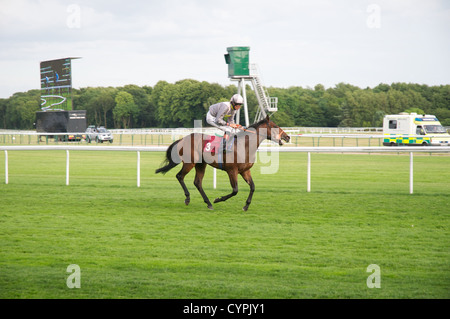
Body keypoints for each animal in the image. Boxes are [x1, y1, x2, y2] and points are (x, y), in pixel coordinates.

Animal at [155, 116, 290, 211]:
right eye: (275, 126)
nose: (287, 137)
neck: (244, 146)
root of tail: (183, 139)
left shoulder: (245, 171)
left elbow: (252, 187)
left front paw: (246, 206)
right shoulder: (232, 171)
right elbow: (235, 190)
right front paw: (218, 199)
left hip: (200, 164)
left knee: (197, 182)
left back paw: (208, 203)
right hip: (190, 162)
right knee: (180, 176)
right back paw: (188, 198)